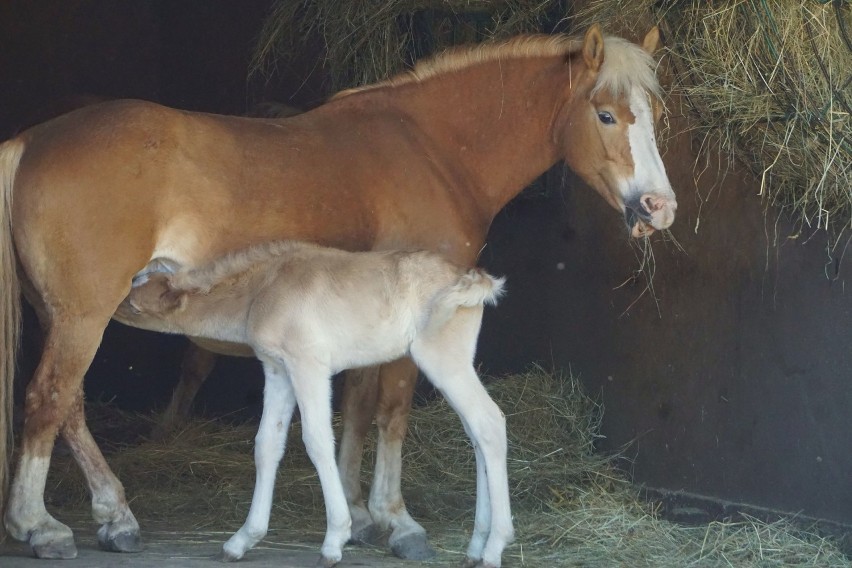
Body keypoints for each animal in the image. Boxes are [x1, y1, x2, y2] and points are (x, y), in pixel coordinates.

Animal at [1, 25, 680, 560]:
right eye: (606, 115)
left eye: (655, 115)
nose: (659, 207)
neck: (433, 150)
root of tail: (31, 140)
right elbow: (392, 409)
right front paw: (394, 520)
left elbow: (354, 405)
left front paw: (353, 513)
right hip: (82, 316)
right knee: (47, 398)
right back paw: (40, 526)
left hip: (64, 315)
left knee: (69, 407)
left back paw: (114, 516)